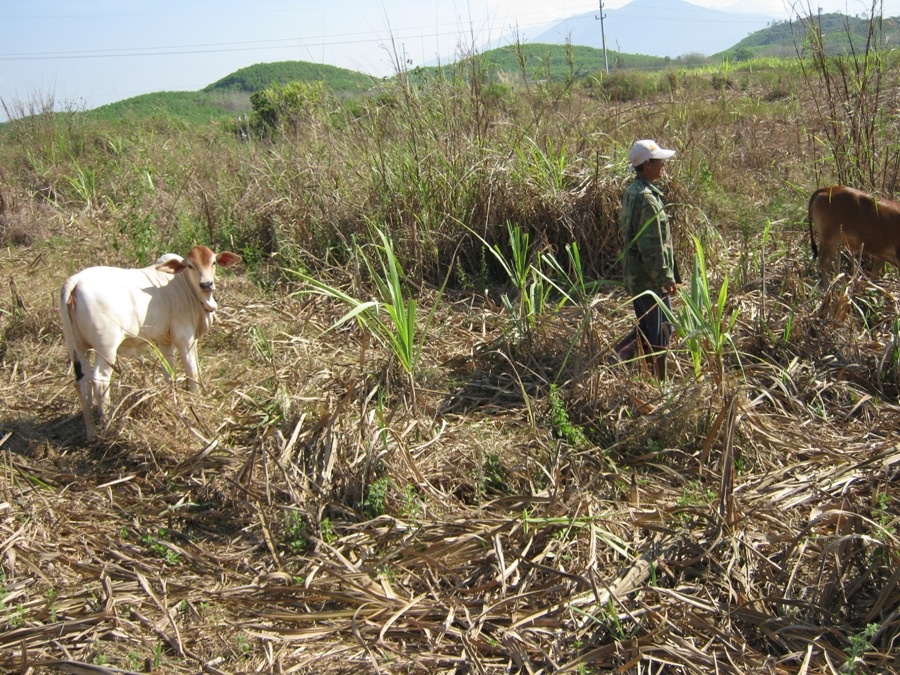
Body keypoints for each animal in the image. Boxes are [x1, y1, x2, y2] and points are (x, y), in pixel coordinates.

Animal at [59, 246, 243, 440]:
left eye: (213, 262)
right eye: (190, 265)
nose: (206, 284)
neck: (185, 286)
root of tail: (77, 280)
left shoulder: (166, 341)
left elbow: (170, 374)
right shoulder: (184, 338)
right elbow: (192, 372)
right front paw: (196, 402)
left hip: (80, 348)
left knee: (82, 383)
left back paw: (92, 433)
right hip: (106, 349)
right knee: (100, 381)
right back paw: (108, 425)